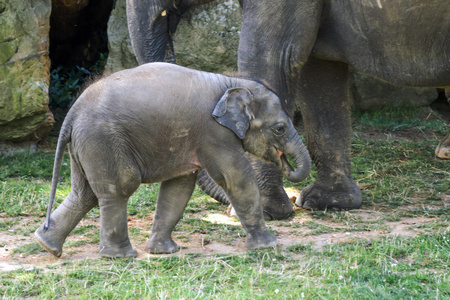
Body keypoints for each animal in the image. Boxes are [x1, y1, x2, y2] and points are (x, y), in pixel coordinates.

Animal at [34, 62, 310, 258]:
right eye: (280, 129)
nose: (286, 163)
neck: (232, 82)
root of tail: (71, 115)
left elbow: (179, 187)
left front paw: (164, 252)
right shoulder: (214, 132)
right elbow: (236, 177)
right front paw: (269, 245)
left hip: (86, 144)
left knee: (84, 194)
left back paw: (47, 245)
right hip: (102, 140)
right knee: (119, 187)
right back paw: (120, 256)